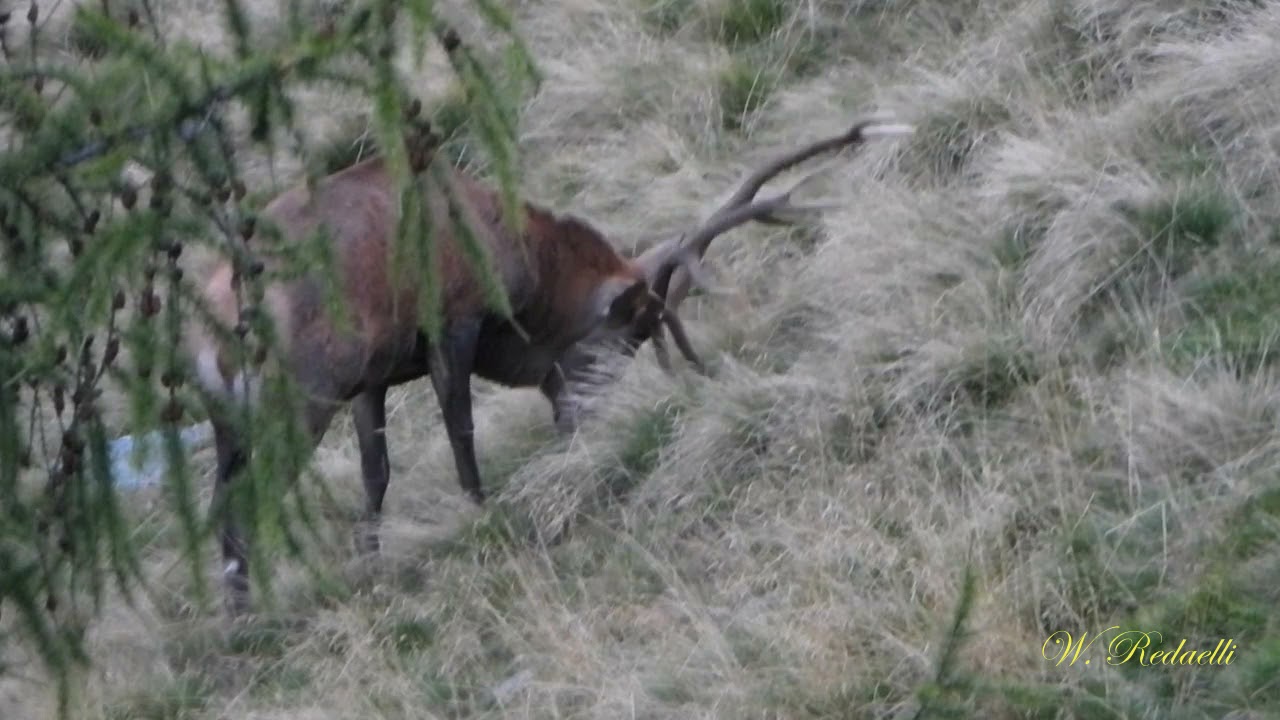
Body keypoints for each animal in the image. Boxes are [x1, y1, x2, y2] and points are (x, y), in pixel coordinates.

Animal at [188, 116, 911, 616]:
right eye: (629, 332)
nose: (588, 422)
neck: (522, 275)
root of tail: (210, 331)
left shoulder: (373, 374)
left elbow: (377, 473)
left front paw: (372, 561)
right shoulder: (452, 320)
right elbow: (460, 431)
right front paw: (482, 511)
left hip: (238, 415)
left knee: (222, 499)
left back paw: (238, 610)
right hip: (300, 394)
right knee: (246, 498)